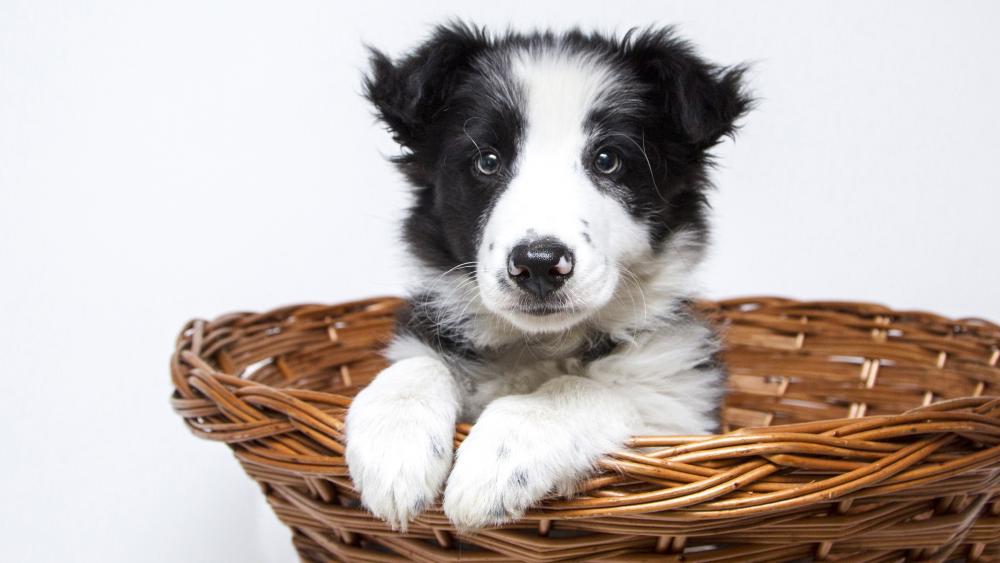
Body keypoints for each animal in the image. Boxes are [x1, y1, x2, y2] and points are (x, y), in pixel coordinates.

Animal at [346, 23, 752, 532]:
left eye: (608, 159)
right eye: (487, 161)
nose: (538, 263)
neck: (540, 345)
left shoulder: (679, 407)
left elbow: (581, 388)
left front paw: (497, 462)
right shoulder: (427, 332)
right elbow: (417, 364)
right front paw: (393, 452)